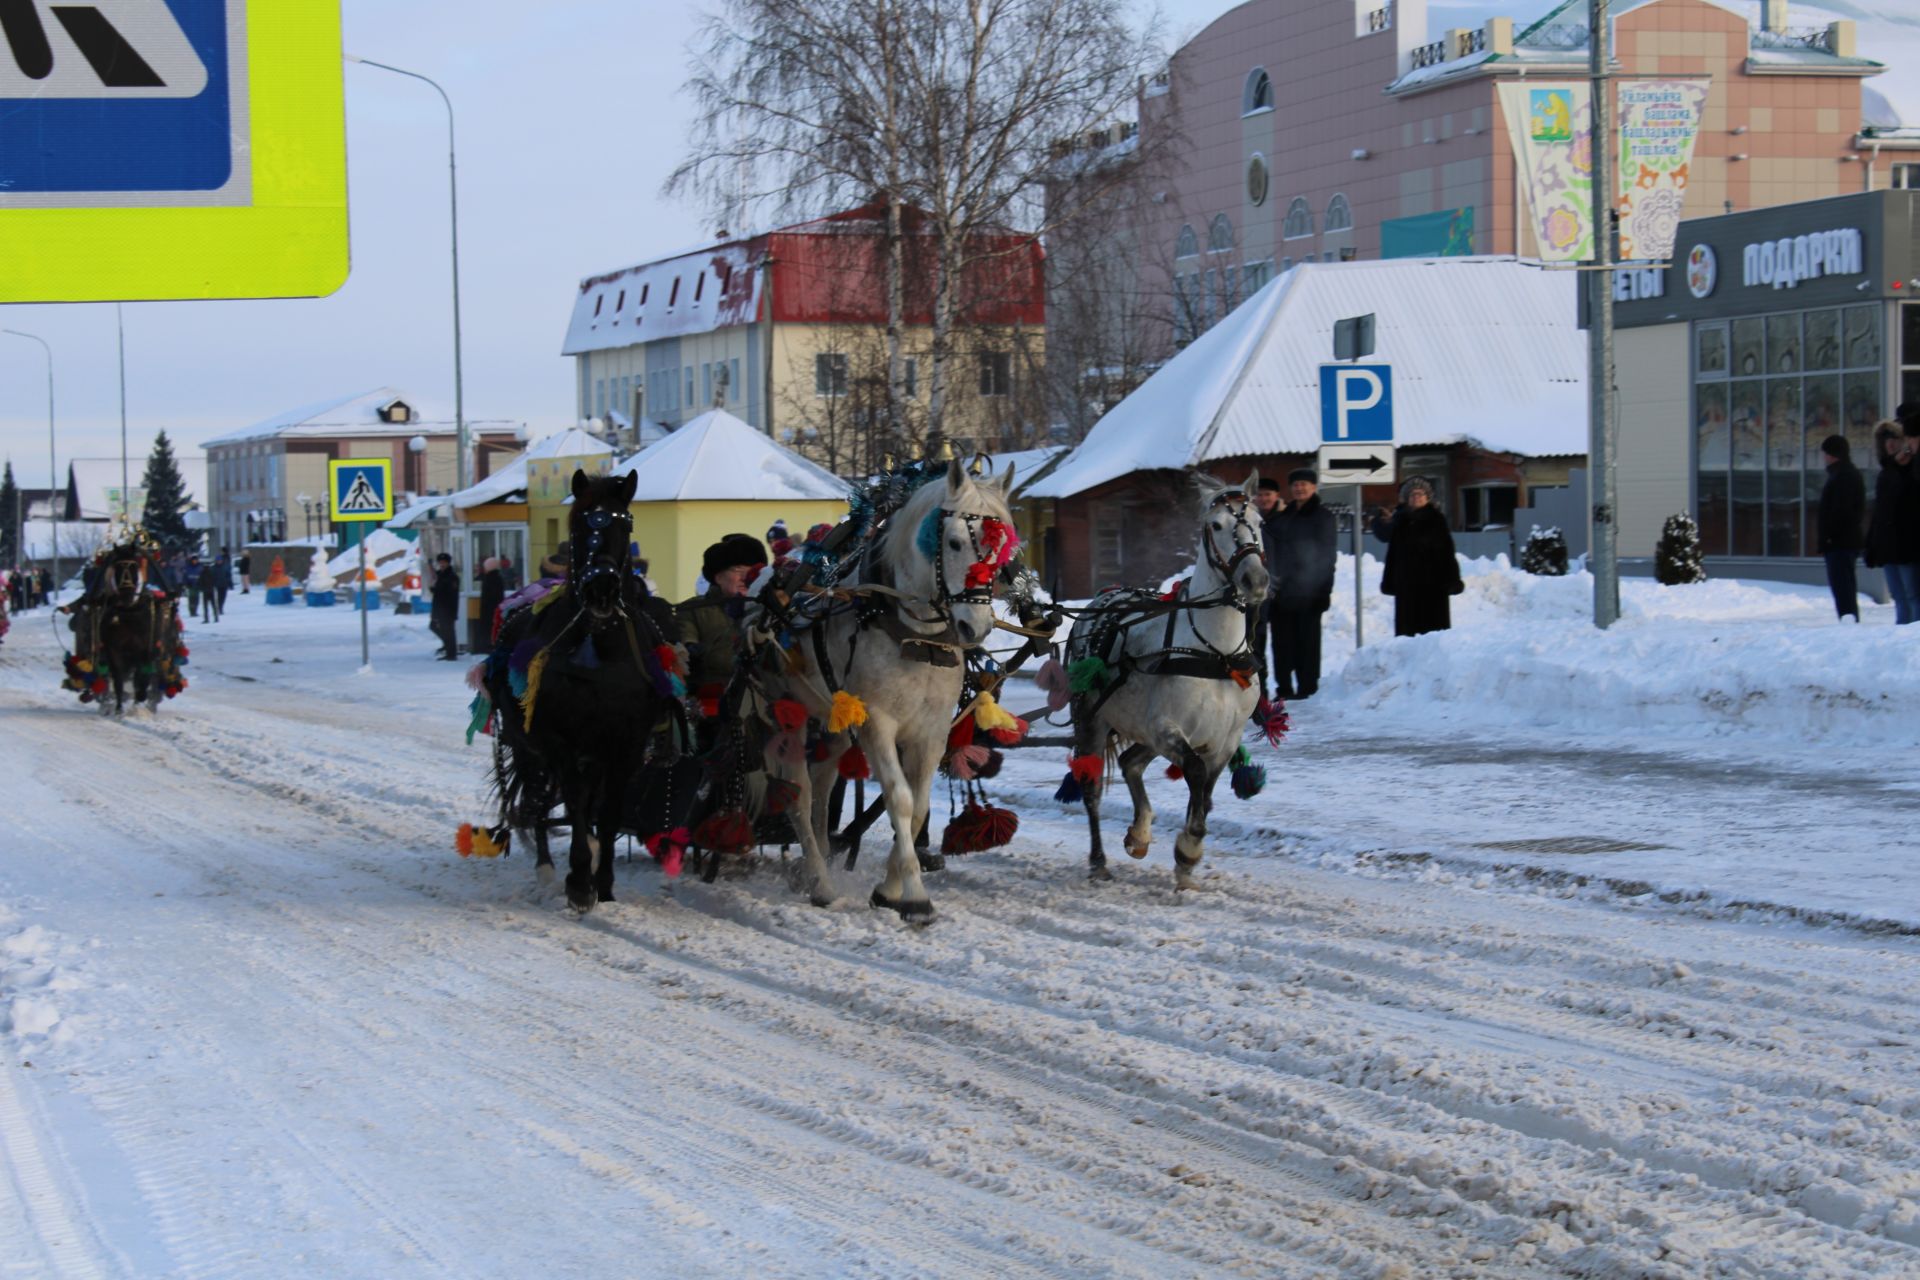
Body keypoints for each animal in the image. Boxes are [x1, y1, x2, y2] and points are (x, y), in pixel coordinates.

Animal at [487, 475, 683, 917]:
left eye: (625, 522)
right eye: (579, 525)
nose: (602, 589)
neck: (598, 645)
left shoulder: (624, 745)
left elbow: (608, 811)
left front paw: (604, 884)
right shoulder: (560, 740)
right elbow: (575, 802)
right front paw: (579, 882)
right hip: (527, 744)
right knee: (538, 798)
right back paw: (546, 867)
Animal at [752, 460, 1021, 921]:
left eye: (1002, 550)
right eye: (953, 542)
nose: (976, 627)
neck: (914, 636)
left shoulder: (933, 729)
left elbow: (919, 806)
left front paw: (889, 888)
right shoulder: (877, 722)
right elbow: (900, 799)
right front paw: (912, 894)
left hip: (834, 723)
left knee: (823, 786)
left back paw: (818, 860)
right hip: (788, 713)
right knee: (799, 796)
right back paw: (820, 880)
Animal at [1059, 470, 1267, 890]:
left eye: (1259, 521)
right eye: (1216, 525)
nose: (1255, 579)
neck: (1217, 655)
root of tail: (1098, 604)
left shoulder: (1223, 741)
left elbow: (1205, 792)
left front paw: (1186, 857)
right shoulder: (1167, 728)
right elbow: (1196, 775)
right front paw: (1188, 849)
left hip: (1142, 731)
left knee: (1130, 762)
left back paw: (1139, 832)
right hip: (1092, 719)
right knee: (1092, 788)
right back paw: (1098, 860)